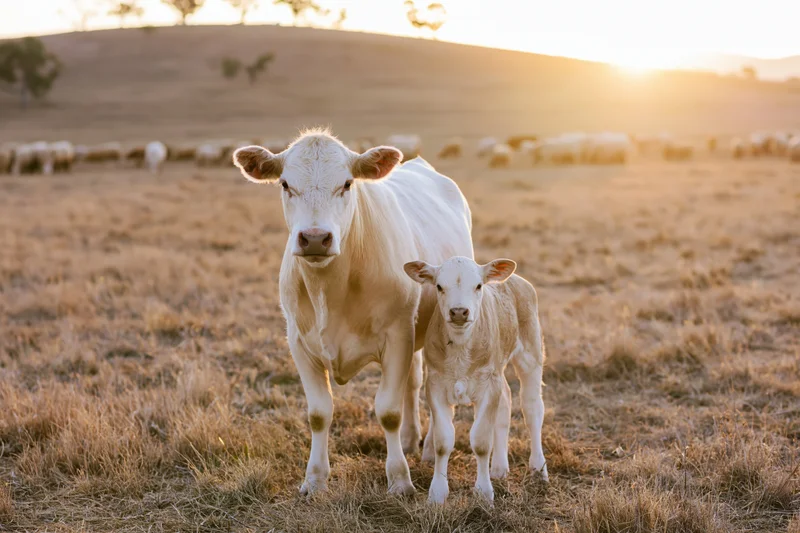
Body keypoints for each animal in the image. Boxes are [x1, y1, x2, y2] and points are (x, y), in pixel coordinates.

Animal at [232, 129, 473, 496]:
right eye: (285, 184)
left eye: (347, 184)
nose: (315, 238)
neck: (330, 289)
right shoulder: (298, 342)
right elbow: (319, 413)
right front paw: (315, 479)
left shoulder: (398, 335)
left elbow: (388, 411)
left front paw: (399, 480)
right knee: (414, 383)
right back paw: (410, 439)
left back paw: (430, 448)